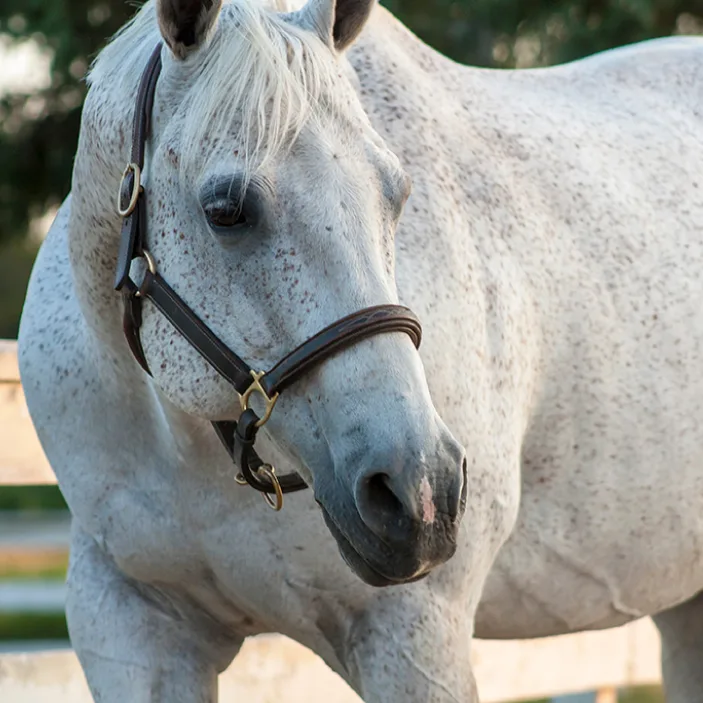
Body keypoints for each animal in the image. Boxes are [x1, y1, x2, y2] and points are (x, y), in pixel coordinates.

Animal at [17, 0, 703, 698]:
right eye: (226, 211)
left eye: (397, 195)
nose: (419, 491)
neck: (186, 445)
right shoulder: (131, 629)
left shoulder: (414, 639)